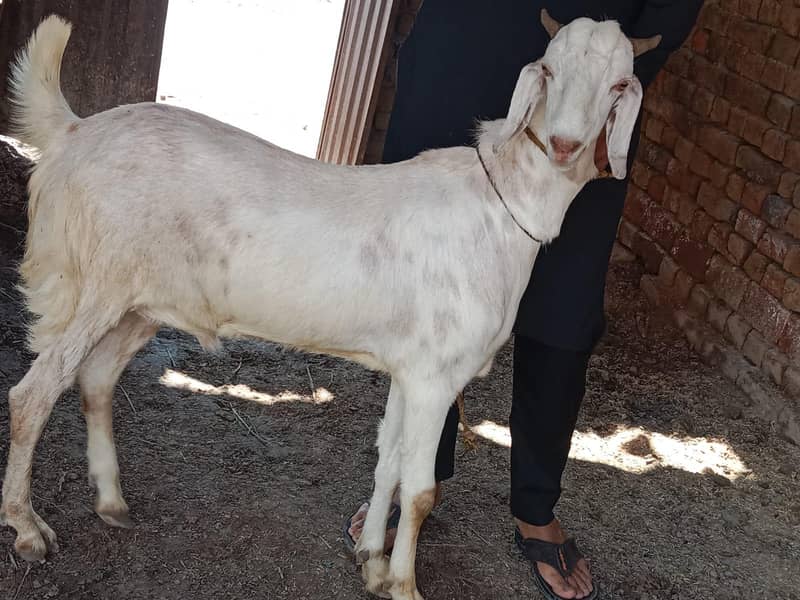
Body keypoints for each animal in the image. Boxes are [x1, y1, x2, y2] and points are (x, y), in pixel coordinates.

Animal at [1, 12, 658, 600]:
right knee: (31, 394)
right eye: (549, 69)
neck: (502, 207)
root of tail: (73, 132)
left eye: (620, 84)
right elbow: (420, 489)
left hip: (139, 302)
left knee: (95, 380)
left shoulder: (412, 368)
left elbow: (389, 460)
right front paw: (405, 586)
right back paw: (28, 529)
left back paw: (112, 501)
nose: (565, 144)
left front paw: (370, 560)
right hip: (93, 284)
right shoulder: (436, 377)